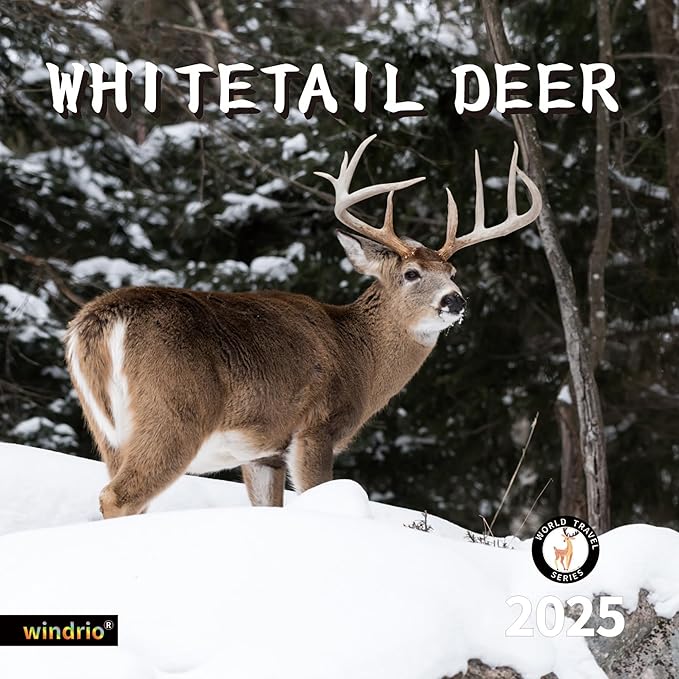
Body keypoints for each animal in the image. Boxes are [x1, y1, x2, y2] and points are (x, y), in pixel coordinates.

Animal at [64, 135, 541, 518]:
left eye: (453, 271)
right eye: (412, 273)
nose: (455, 301)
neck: (359, 354)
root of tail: (99, 321)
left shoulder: (265, 452)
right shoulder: (316, 427)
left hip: (108, 432)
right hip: (174, 413)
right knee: (119, 496)